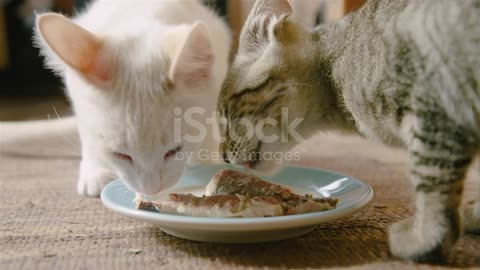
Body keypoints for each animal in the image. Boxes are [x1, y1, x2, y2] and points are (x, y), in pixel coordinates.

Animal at [32, 1, 230, 197]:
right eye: (120, 155)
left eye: (174, 150)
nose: (151, 190)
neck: (140, 16)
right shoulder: (76, 93)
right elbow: (88, 131)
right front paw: (95, 169)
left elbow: (206, 131)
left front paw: (207, 163)